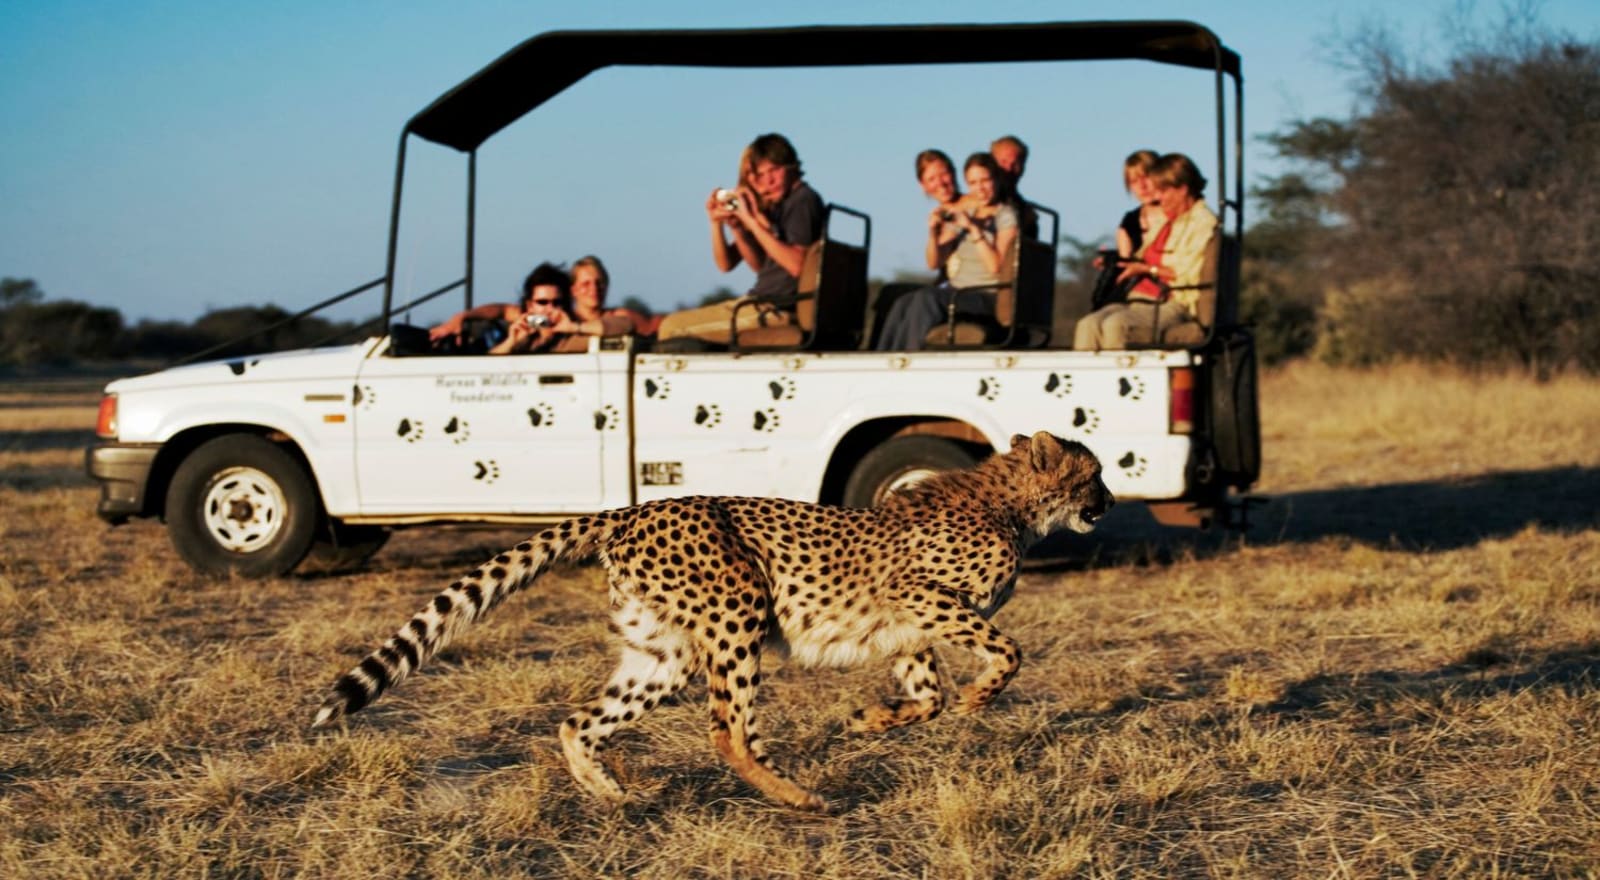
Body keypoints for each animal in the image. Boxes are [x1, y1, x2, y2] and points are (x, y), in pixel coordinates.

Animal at [310, 430, 1112, 809]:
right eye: (1095, 473)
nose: (1108, 501)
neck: (1012, 503)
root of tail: (634, 507)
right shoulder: (919, 594)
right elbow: (1006, 653)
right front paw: (980, 696)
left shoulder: (909, 630)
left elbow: (927, 697)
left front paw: (867, 719)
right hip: (740, 610)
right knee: (727, 731)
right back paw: (801, 797)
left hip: (662, 654)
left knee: (578, 721)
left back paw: (608, 792)